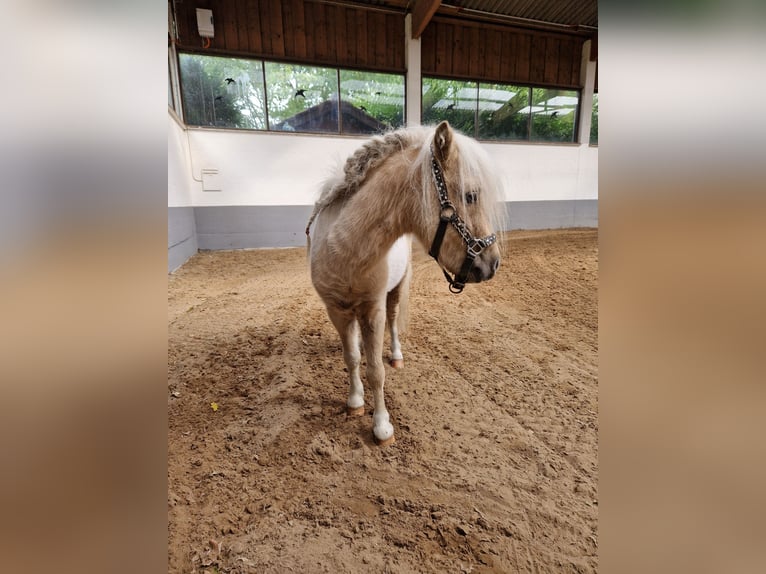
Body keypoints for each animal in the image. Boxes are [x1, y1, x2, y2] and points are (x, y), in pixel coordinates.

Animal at [306, 120, 504, 446]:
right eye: (471, 196)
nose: (492, 264)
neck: (344, 247)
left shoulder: (373, 308)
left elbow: (376, 371)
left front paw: (382, 426)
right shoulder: (336, 310)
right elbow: (352, 358)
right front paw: (355, 401)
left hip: (396, 292)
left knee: (394, 322)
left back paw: (396, 355)